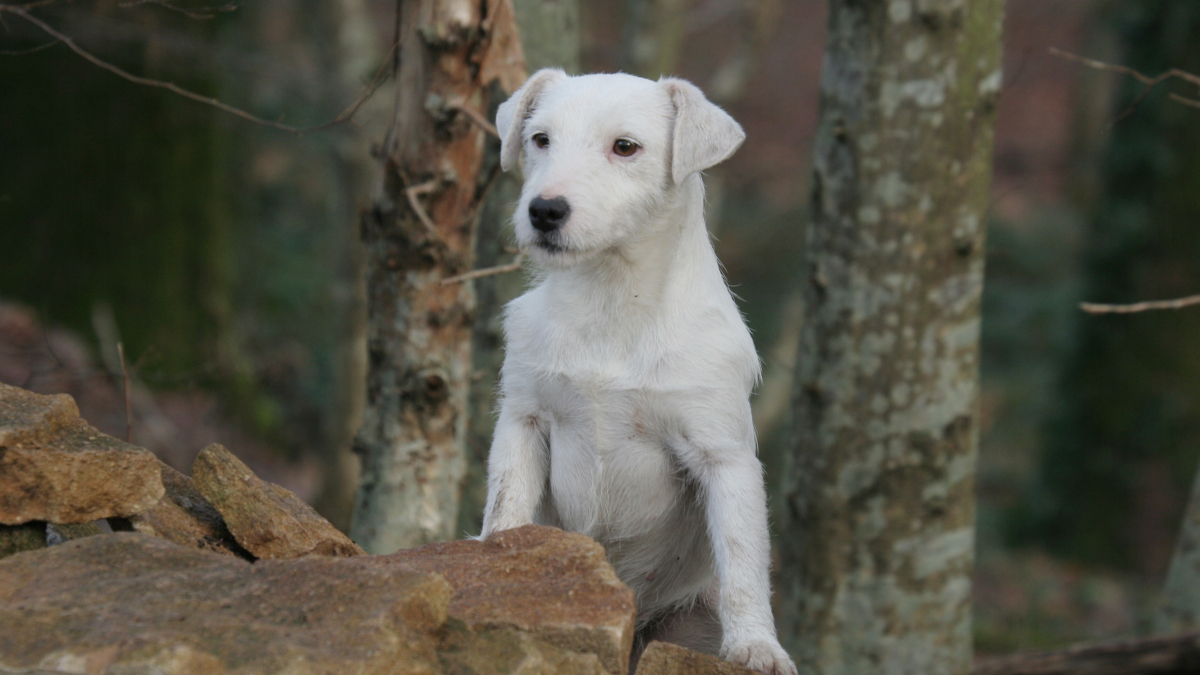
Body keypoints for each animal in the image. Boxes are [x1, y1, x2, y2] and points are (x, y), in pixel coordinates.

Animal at [477, 69, 796, 672]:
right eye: (540, 139)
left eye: (625, 147)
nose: (544, 211)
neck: (612, 301)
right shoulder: (522, 423)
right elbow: (505, 513)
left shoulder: (724, 456)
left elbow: (742, 558)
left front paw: (755, 645)